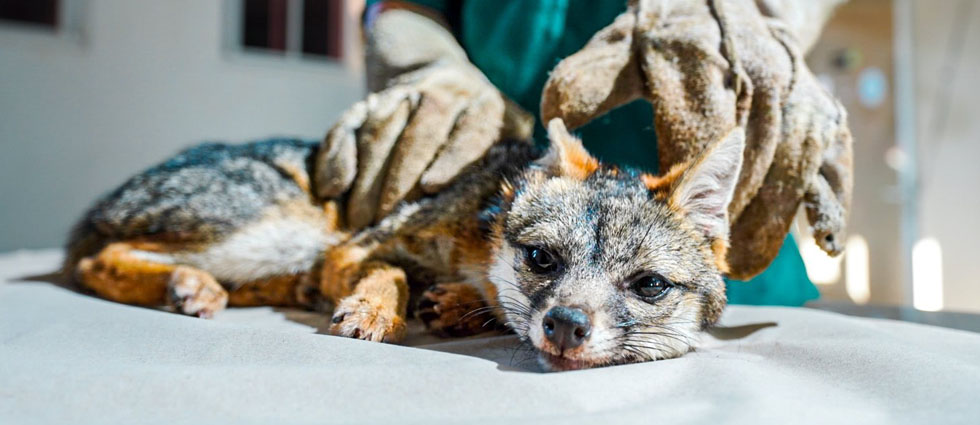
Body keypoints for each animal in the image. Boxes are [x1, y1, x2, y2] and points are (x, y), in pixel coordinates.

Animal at [66, 118, 744, 371]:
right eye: (541, 259)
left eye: (649, 286)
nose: (566, 326)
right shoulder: (354, 248)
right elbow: (389, 272)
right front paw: (376, 309)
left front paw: (454, 307)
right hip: (286, 228)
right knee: (93, 261)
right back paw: (189, 285)